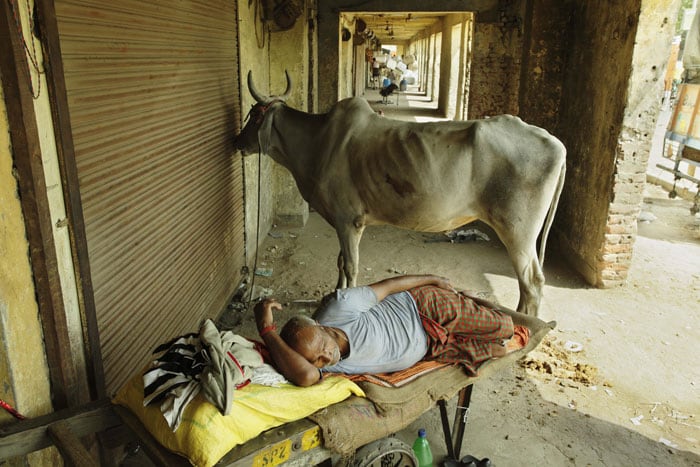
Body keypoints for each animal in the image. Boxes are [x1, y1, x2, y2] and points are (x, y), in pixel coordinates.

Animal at [232, 71, 568, 316]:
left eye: (253, 115)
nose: (236, 141)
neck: (317, 144)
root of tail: (555, 143)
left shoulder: (348, 219)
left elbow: (350, 266)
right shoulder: (344, 222)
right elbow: (340, 262)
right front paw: (332, 294)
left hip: (518, 231)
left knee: (532, 282)